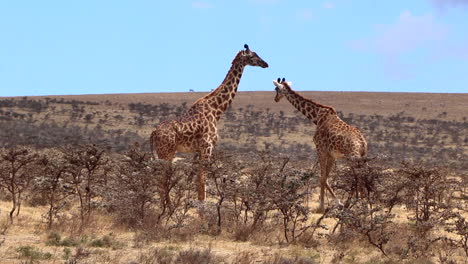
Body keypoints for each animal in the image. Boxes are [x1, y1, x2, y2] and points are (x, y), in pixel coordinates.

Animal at [272, 77, 368, 211]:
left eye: (276, 89)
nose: (275, 99)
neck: (316, 117)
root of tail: (362, 142)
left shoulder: (320, 149)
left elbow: (322, 178)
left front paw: (323, 206)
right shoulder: (332, 155)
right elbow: (325, 178)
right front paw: (336, 203)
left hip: (352, 158)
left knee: (357, 177)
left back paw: (356, 203)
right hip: (362, 157)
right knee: (364, 176)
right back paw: (363, 203)